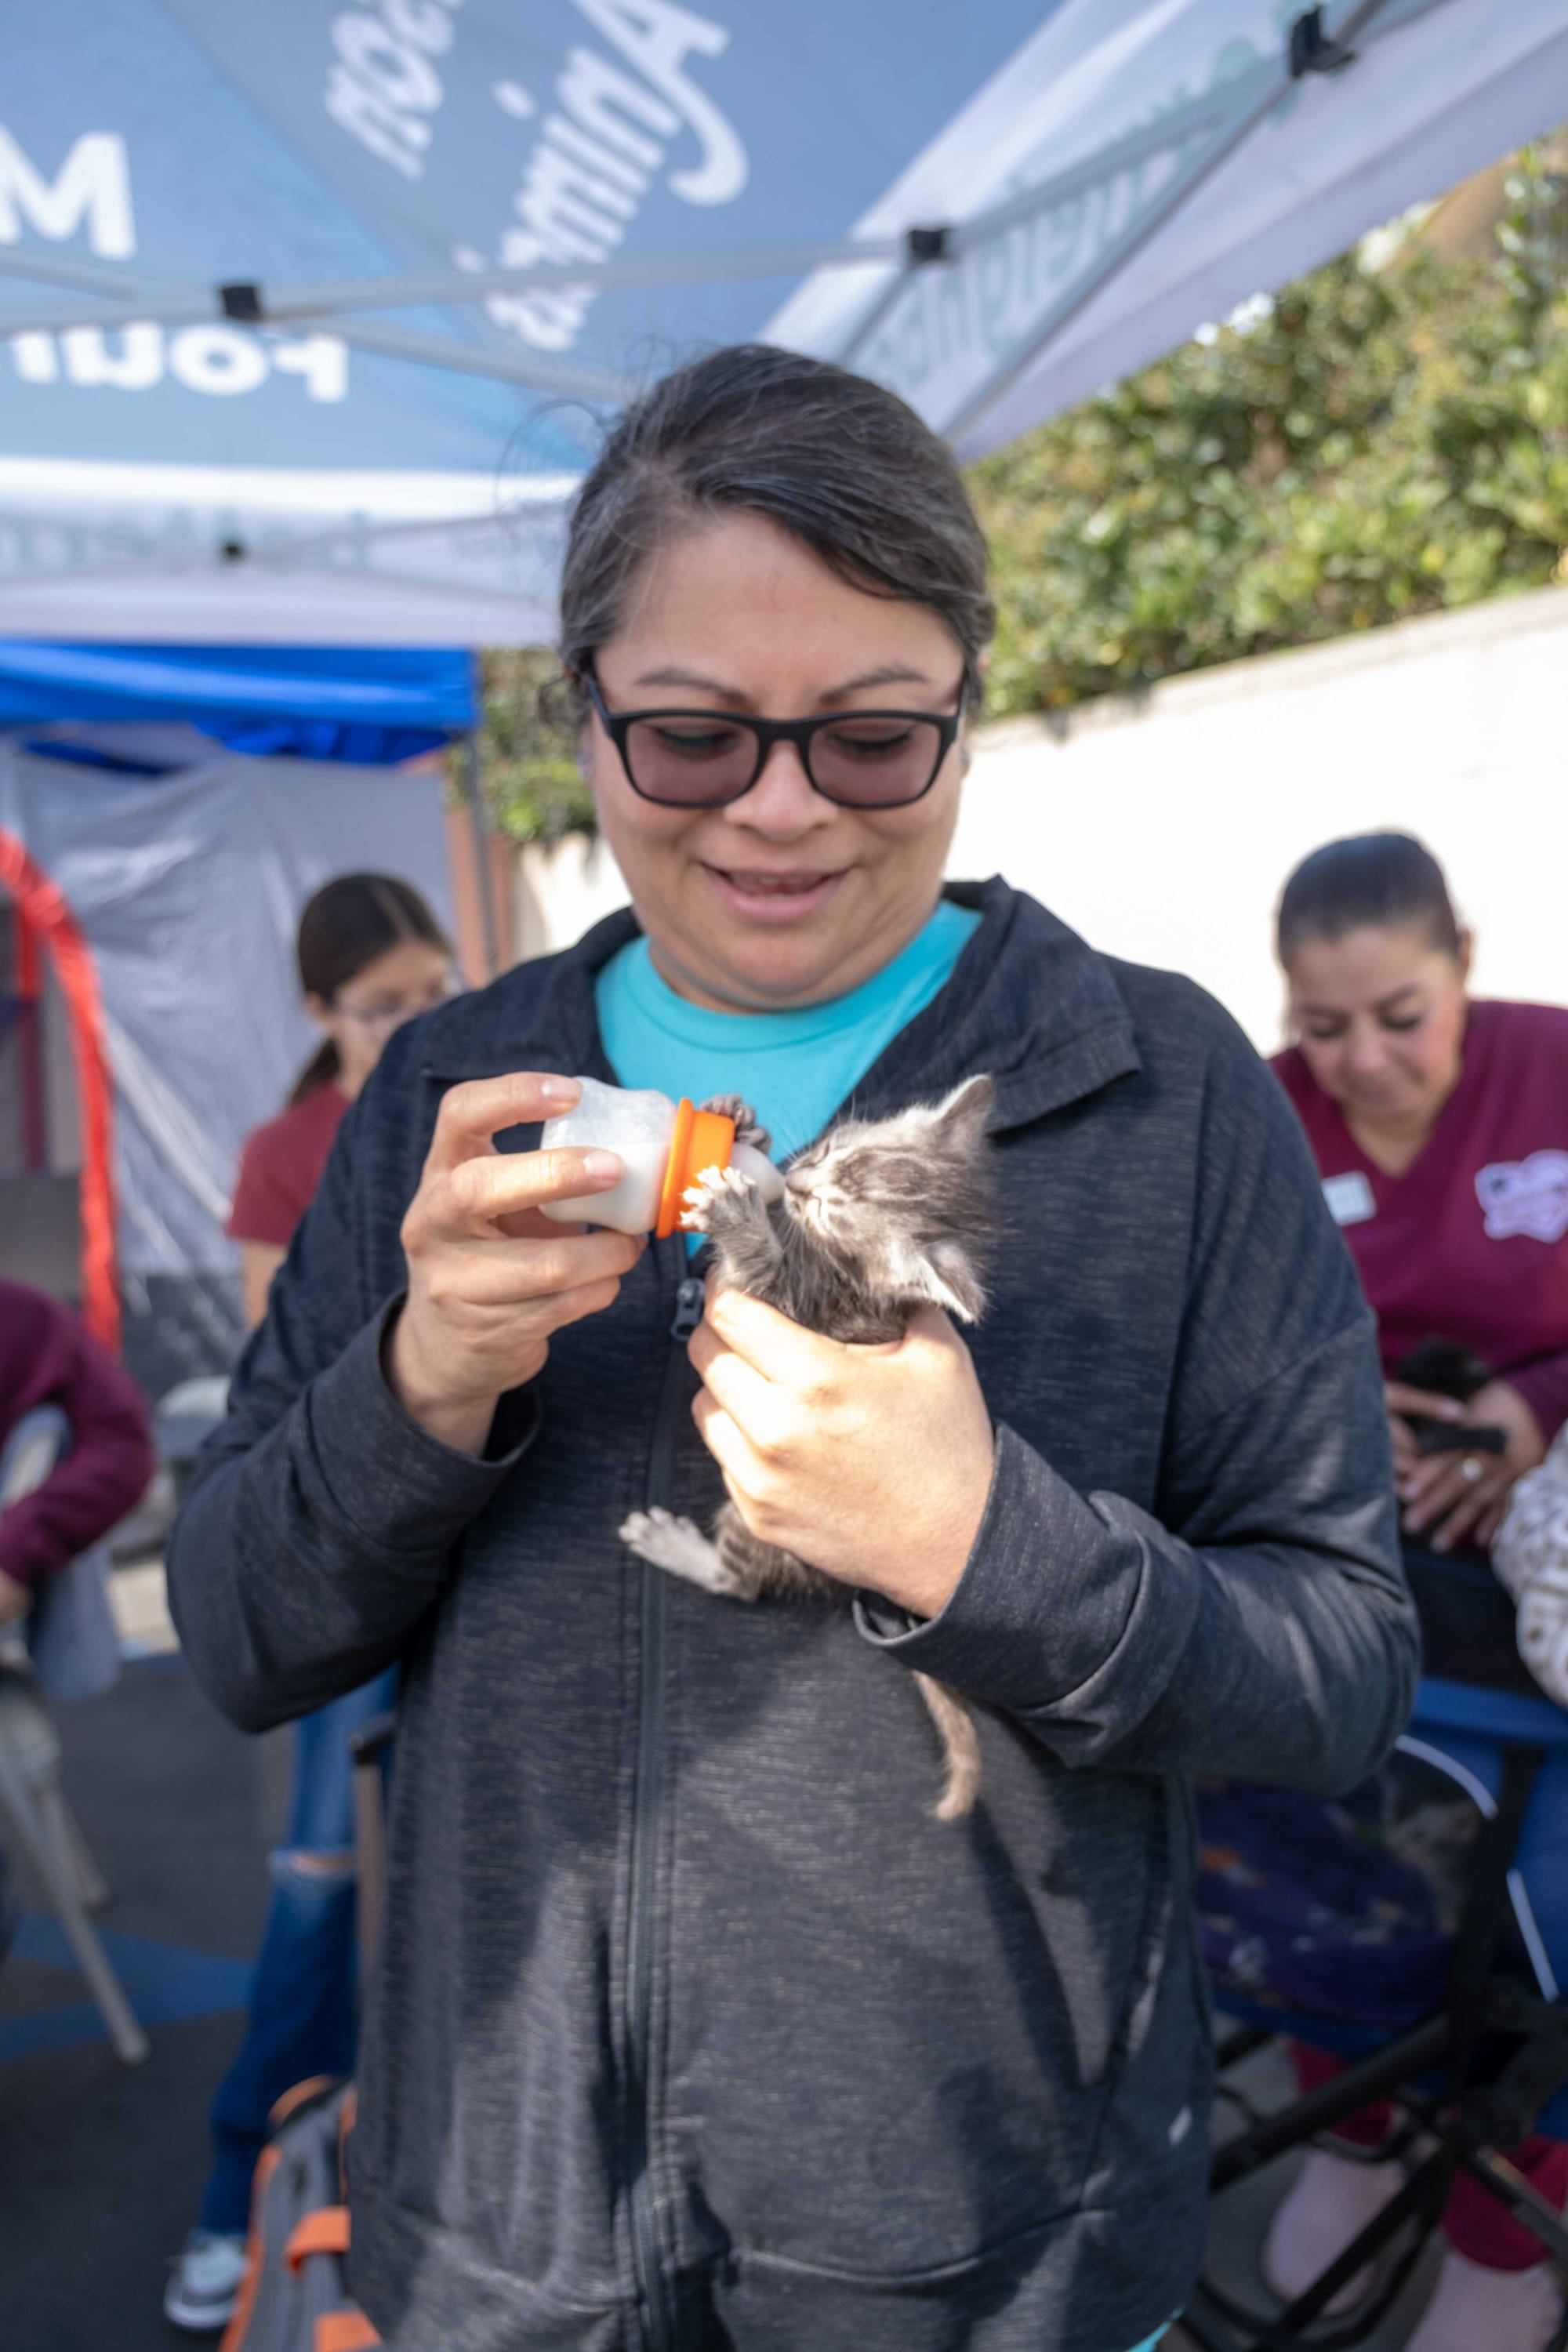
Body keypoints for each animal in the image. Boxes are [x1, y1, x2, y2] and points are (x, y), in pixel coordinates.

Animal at [620, 1077, 1001, 1825]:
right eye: (827, 1154)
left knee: (737, 1581)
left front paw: (735, 1217)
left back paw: (678, 1548)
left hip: (756, 1524)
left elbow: (759, 1267)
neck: (840, 1267)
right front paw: (741, 1126)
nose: (794, 1181)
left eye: (830, 1207)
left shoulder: (797, 1303)